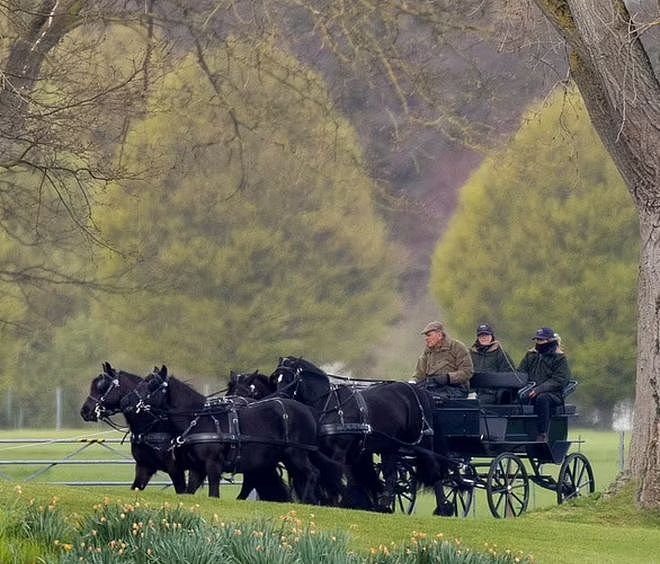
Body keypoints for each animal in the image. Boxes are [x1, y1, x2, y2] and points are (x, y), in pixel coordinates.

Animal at [79, 362, 195, 494]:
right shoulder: (144, 467)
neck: (154, 427)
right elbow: (136, 487)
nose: (84, 411)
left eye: (101, 386)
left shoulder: (176, 470)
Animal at [122, 366, 324, 502]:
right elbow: (189, 491)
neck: (199, 420)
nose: (125, 401)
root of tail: (307, 410)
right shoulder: (196, 468)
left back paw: (306, 502)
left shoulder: (213, 465)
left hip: (296, 454)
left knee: (312, 474)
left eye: (152, 384)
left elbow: (213, 493)